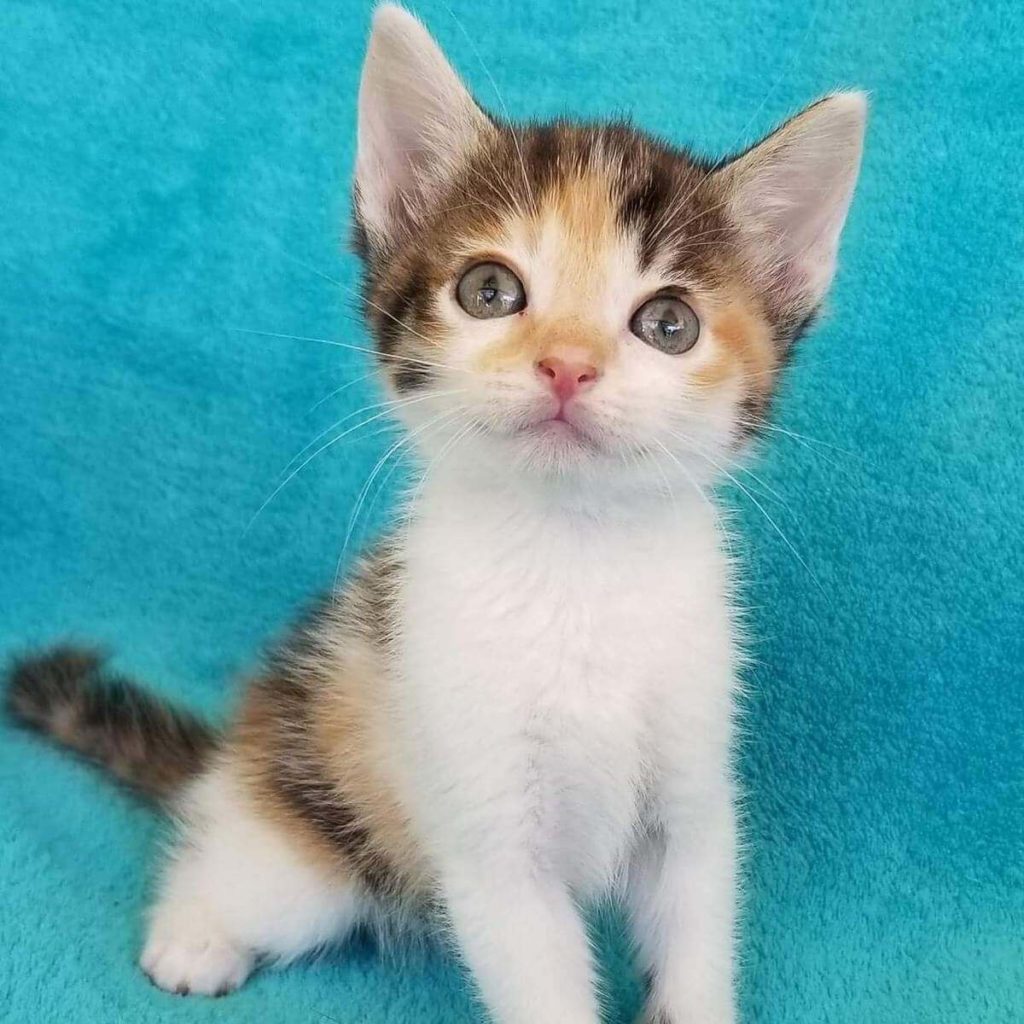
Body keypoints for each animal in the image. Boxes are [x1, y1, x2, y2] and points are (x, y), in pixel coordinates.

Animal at [6, 4, 864, 1019]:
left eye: (669, 325)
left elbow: (694, 936)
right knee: (233, 861)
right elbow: (541, 979)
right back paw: (192, 936)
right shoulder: (487, 834)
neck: (575, 558)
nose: (568, 366)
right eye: (489, 291)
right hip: (315, 837)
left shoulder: (692, 797)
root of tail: (238, 754)